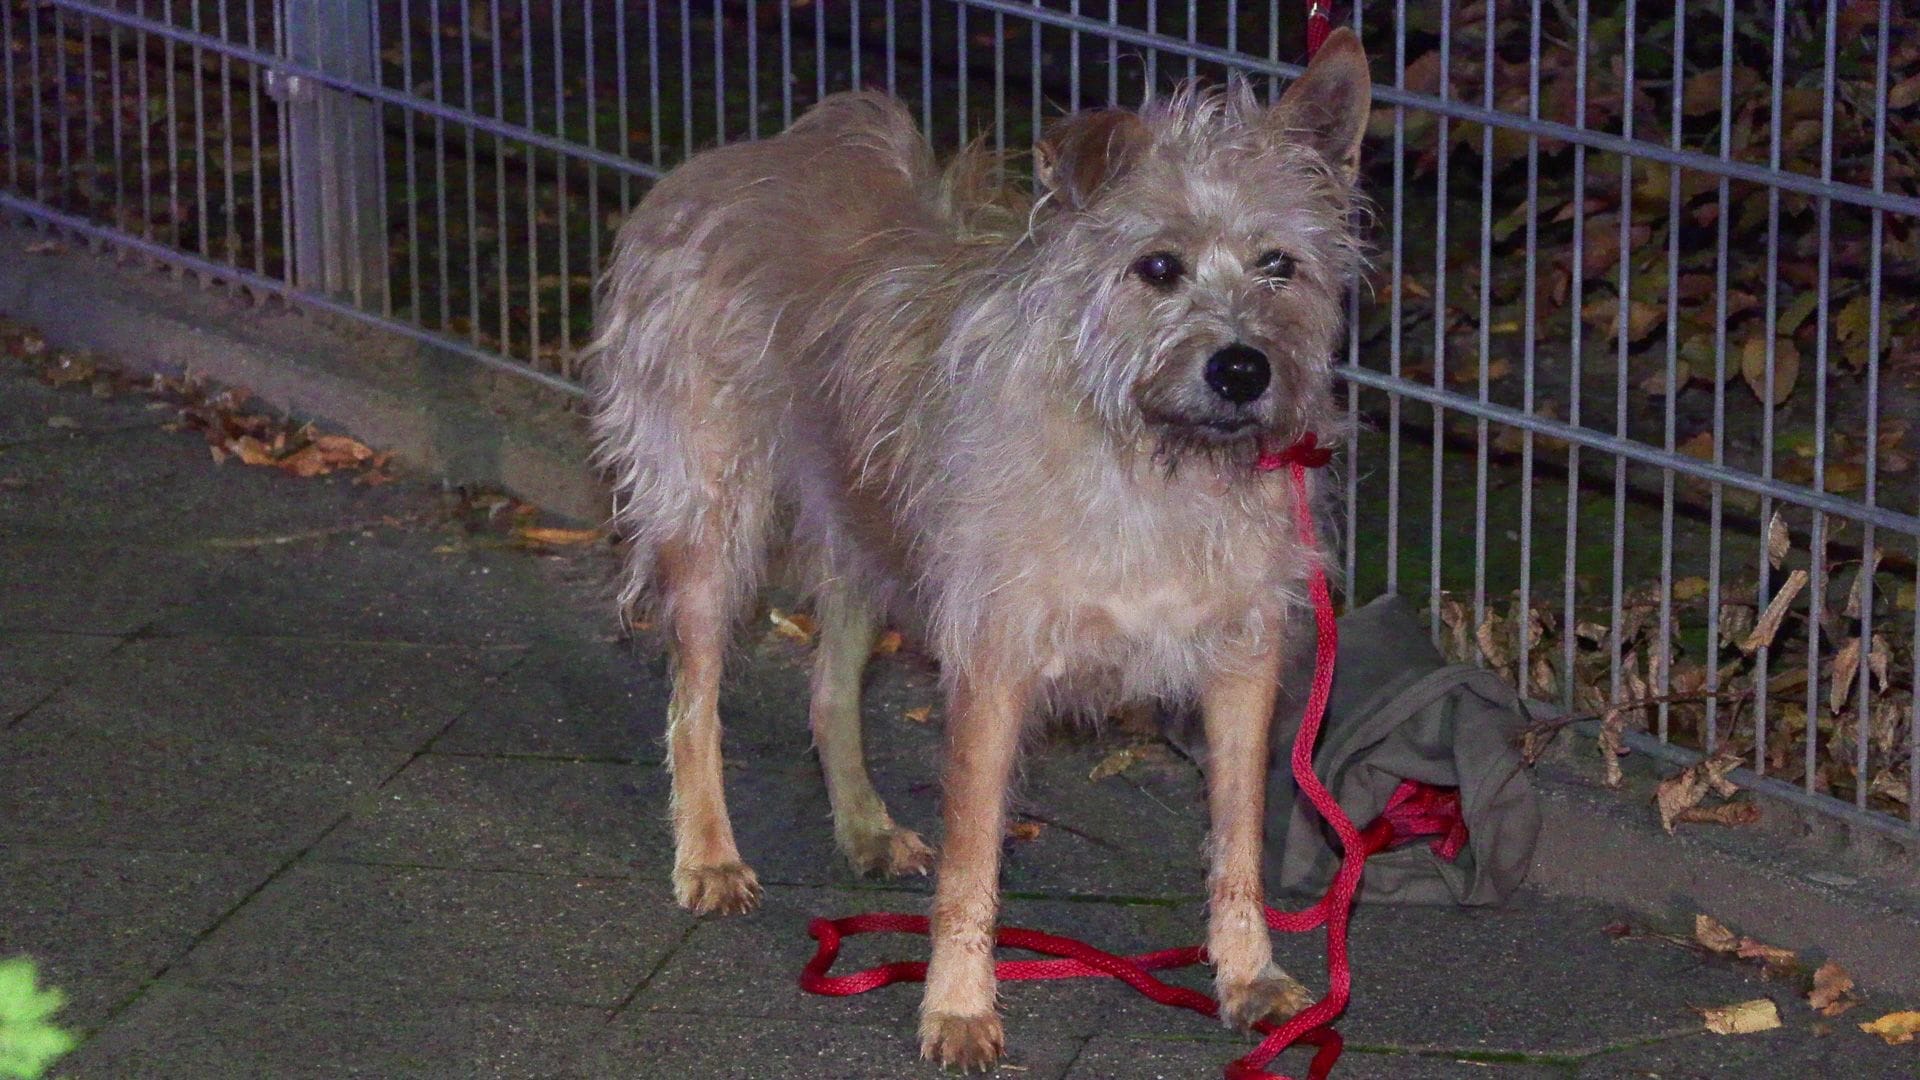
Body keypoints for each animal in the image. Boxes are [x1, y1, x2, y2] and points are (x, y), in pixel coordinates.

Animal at [579, 27, 1367, 1068]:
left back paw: (864, 827)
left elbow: (1236, 841)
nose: (1242, 369)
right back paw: (708, 853)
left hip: (867, 528)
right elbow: (972, 860)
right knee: (693, 698)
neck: (1148, 461)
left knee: (830, 690)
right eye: (1157, 267)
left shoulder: (1242, 668)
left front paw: (1248, 976)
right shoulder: (993, 669)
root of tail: (743, 159)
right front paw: (956, 1005)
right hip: (714, 528)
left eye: (1280, 264)